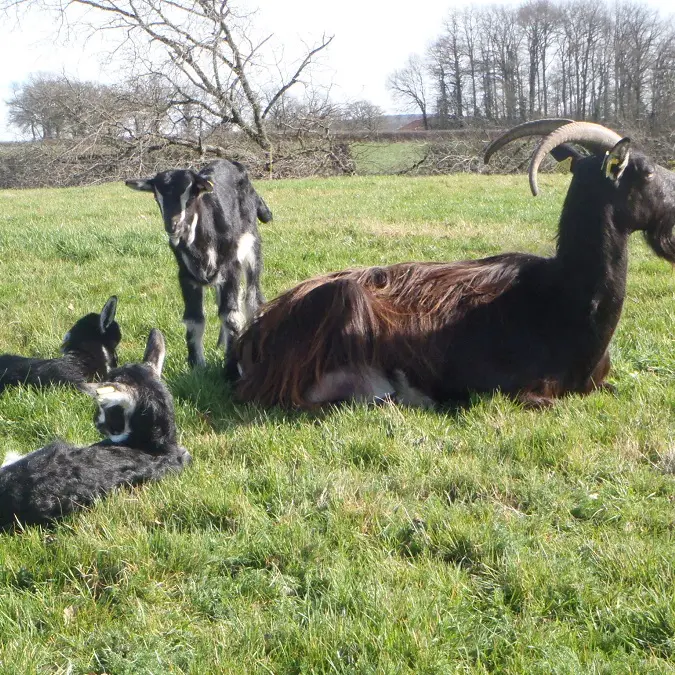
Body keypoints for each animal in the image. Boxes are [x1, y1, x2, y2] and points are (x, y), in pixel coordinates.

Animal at [125, 160, 272, 372]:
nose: (173, 225)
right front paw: (196, 364)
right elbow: (194, 318)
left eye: (191, 194)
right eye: (156, 196)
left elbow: (230, 315)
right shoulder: (186, 276)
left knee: (252, 297)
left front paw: (230, 365)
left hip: (252, 246)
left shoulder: (231, 268)